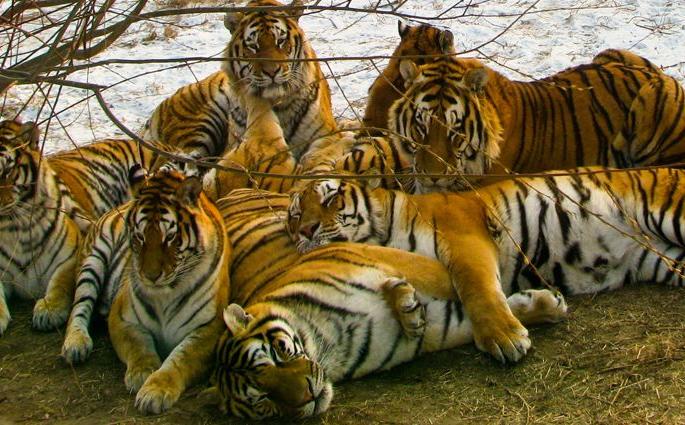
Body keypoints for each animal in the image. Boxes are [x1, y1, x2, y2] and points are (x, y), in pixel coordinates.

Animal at [61, 167, 230, 414]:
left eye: (169, 237)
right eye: (140, 237)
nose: (150, 276)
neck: (166, 294)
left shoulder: (210, 327)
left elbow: (180, 358)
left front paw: (155, 391)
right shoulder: (122, 318)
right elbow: (138, 345)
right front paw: (142, 373)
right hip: (93, 259)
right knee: (79, 306)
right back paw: (75, 343)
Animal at [142, 0, 338, 170]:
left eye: (280, 41)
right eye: (253, 46)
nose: (272, 72)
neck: (276, 103)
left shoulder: (326, 135)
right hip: (198, 124)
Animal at [203, 187, 567, 419]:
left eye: (279, 352)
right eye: (264, 400)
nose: (307, 396)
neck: (329, 340)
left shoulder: (393, 258)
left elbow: (462, 284)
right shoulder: (434, 331)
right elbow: (467, 320)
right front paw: (540, 307)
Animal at [287, 168, 685, 362]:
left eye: (330, 199)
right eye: (294, 214)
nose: (306, 229)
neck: (383, 235)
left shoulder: (465, 239)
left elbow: (477, 289)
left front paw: (504, 338)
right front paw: (408, 312)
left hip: (670, 213)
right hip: (664, 259)